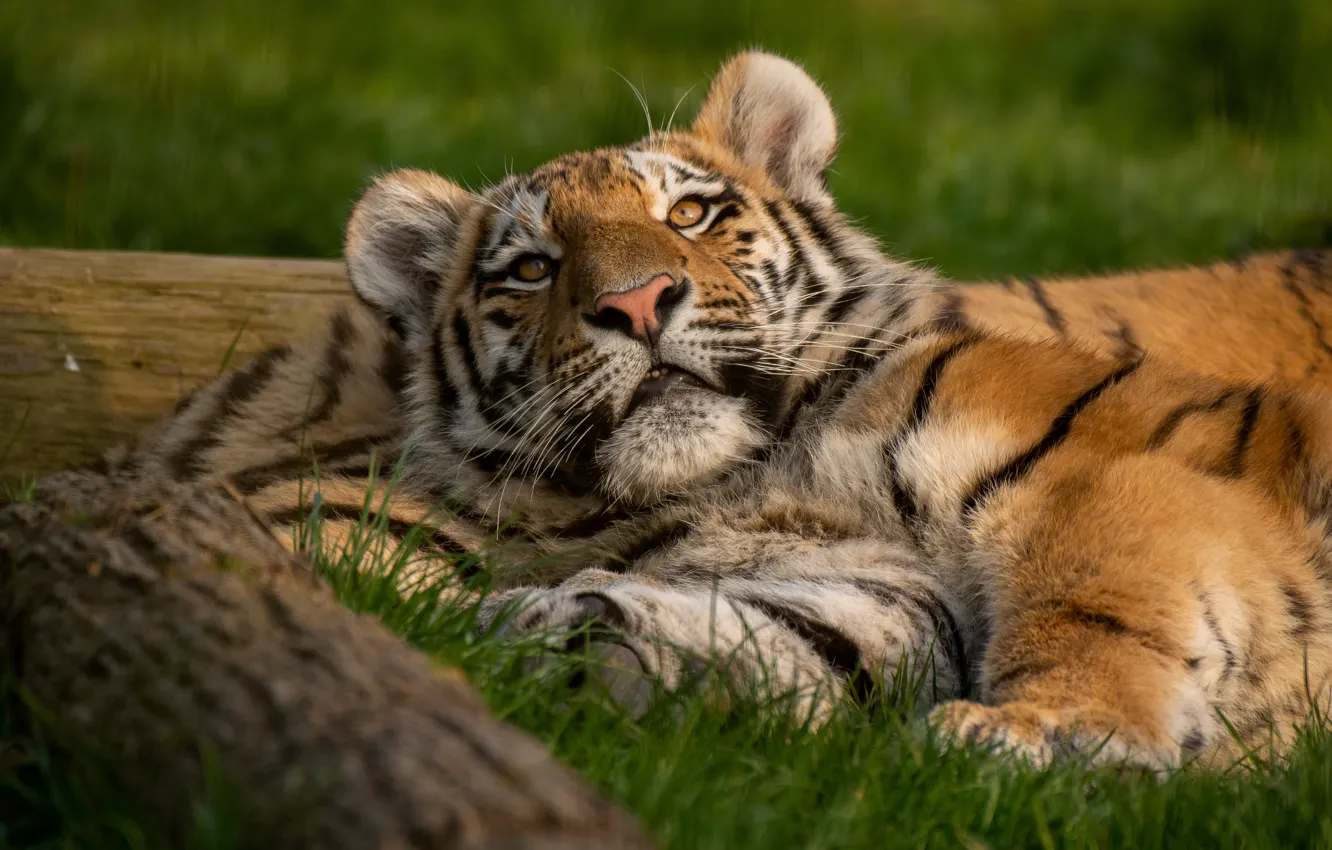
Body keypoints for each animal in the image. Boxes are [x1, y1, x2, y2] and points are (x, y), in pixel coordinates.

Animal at [84, 51, 1332, 768]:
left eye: (688, 213)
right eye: (531, 268)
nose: (637, 302)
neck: (751, 477)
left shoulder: (1110, 469)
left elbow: (1090, 601)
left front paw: (1039, 735)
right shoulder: (874, 583)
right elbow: (792, 639)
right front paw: (554, 636)